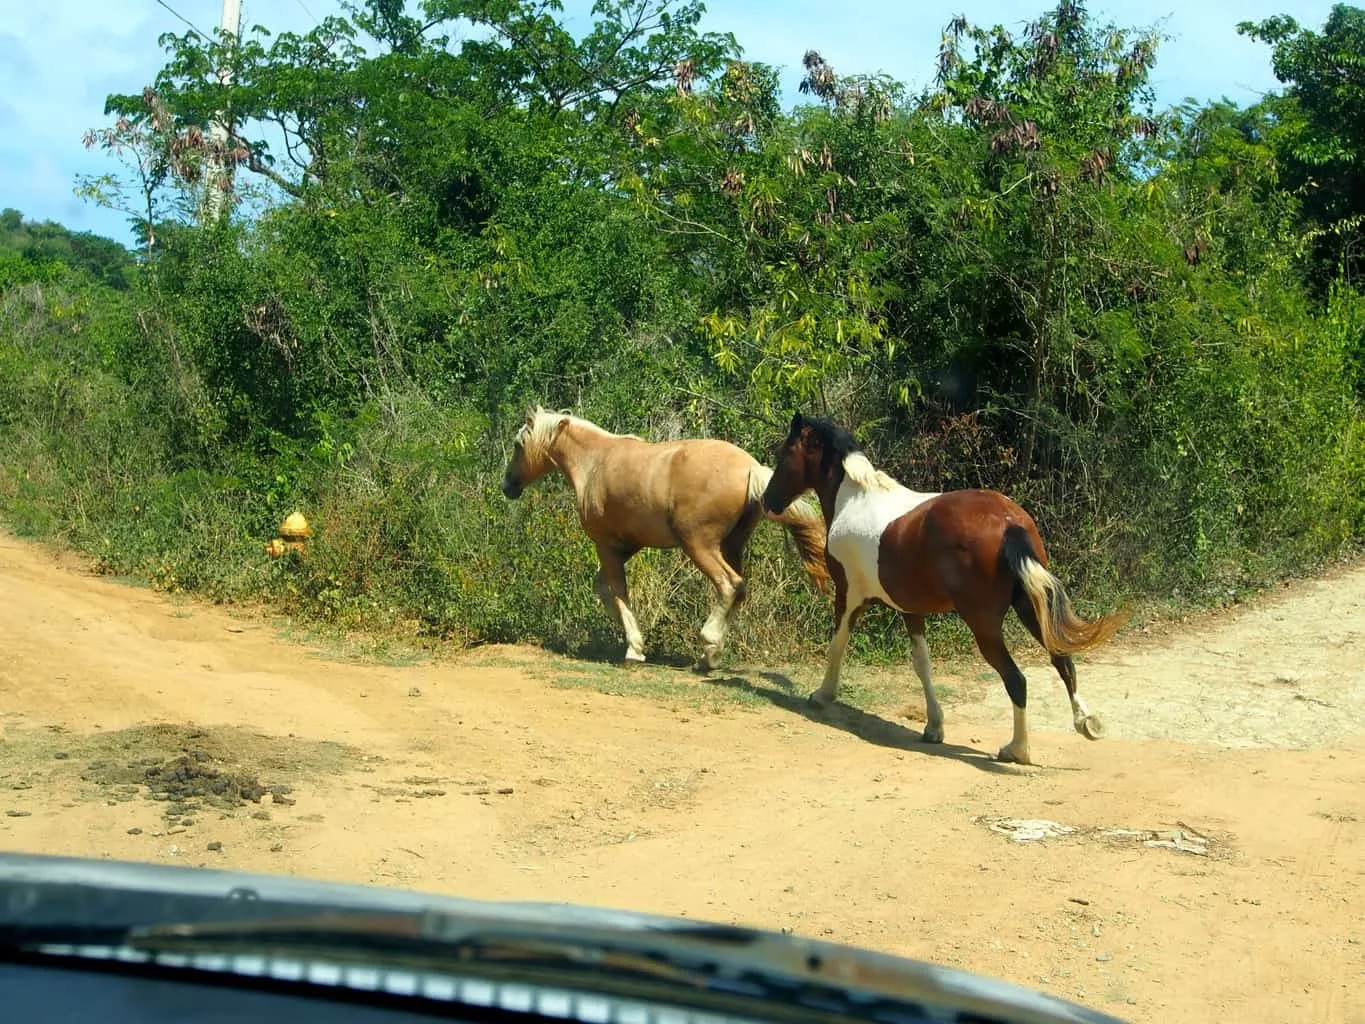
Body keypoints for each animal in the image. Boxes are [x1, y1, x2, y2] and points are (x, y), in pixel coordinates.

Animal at [496, 409, 824, 674]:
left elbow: (618, 591)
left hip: (699, 546)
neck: (595, 462)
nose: (507, 485)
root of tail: (751, 468)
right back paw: (709, 656)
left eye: (518, 444)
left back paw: (709, 646)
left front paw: (634, 649)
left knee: (729, 584)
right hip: (731, 546)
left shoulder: (606, 546)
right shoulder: (628, 546)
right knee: (740, 589)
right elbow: (603, 589)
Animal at [758, 412, 1130, 764]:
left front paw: (822, 695)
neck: (855, 499)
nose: (767, 501)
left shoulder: (849, 594)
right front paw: (934, 726)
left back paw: (1016, 750)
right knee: (1062, 659)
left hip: (983, 623)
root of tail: (1010, 524)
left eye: (784, 452)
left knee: (1017, 680)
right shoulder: (910, 609)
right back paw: (1085, 723)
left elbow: (837, 645)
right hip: (1030, 605)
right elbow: (922, 663)